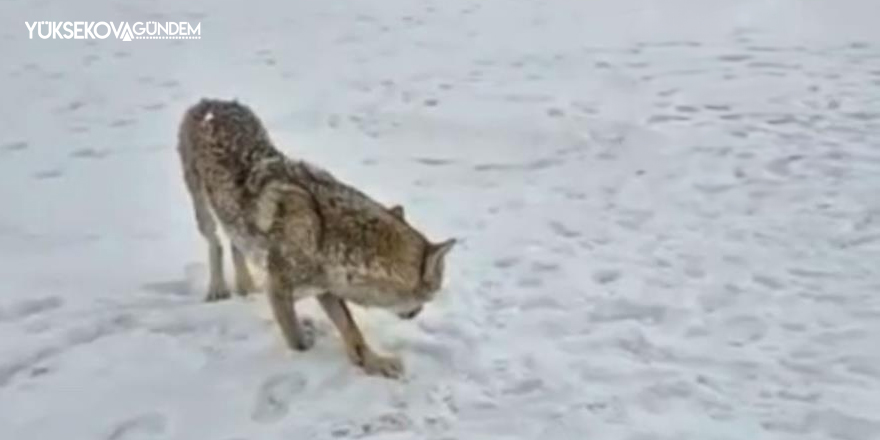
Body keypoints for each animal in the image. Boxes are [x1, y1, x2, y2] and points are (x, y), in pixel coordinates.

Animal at [176, 99, 458, 378]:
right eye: (431, 296)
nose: (418, 312)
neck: (326, 236)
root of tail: (210, 102)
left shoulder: (325, 289)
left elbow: (352, 331)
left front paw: (375, 363)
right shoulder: (279, 290)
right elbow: (298, 342)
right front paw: (306, 354)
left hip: (233, 219)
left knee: (236, 246)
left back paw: (245, 287)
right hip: (203, 211)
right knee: (215, 243)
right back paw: (217, 289)